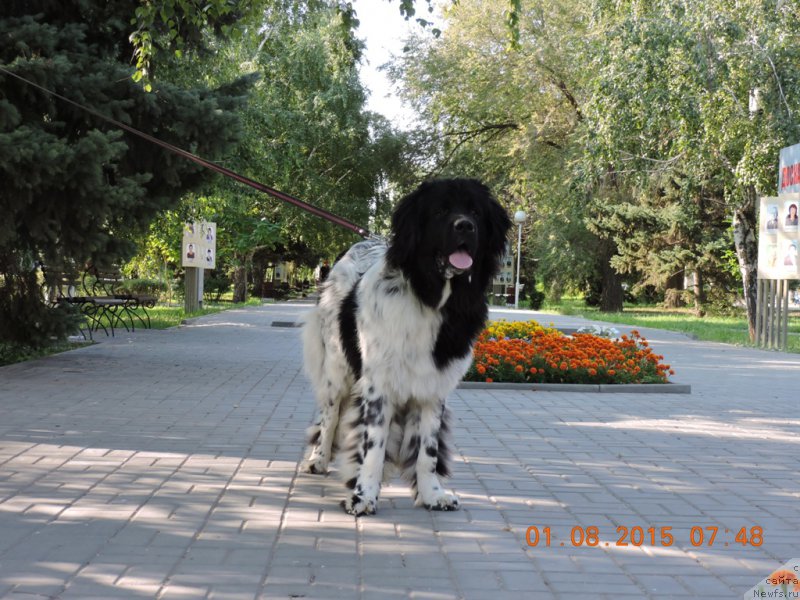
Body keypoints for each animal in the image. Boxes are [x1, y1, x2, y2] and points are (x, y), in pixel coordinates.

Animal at [300, 178, 512, 516]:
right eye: (440, 211)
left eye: (476, 213)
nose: (465, 226)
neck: (432, 296)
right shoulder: (378, 385)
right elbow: (373, 447)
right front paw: (363, 496)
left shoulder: (433, 386)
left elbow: (428, 449)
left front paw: (432, 494)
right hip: (336, 367)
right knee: (329, 416)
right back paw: (318, 460)